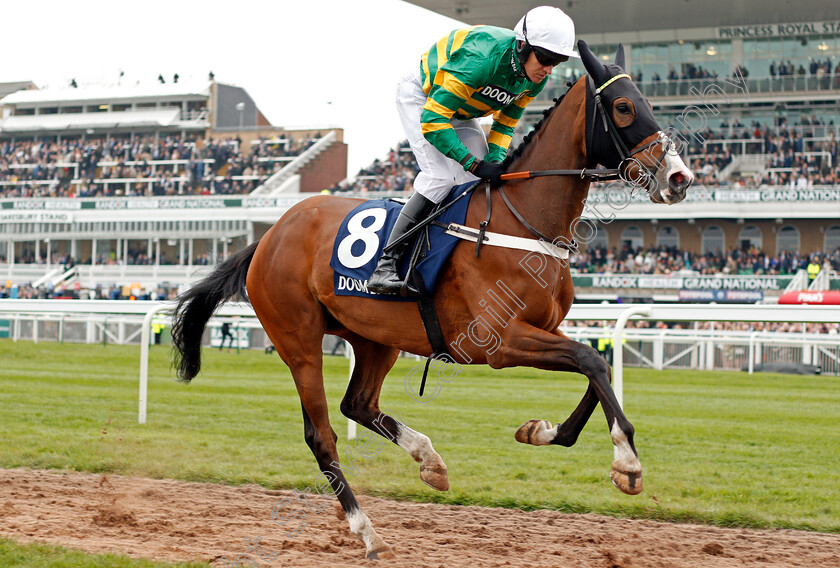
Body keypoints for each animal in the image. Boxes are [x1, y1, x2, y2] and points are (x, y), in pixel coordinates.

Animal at [172, 40, 696, 560]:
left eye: (649, 103)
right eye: (624, 107)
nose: (679, 177)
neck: (521, 222)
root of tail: (266, 237)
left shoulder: (545, 329)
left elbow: (597, 364)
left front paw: (541, 431)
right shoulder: (500, 341)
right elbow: (590, 361)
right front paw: (627, 463)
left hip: (373, 338)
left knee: (357, 405)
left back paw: (429, 459)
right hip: (298, 342)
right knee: (321, 435)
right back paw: (367, 531)